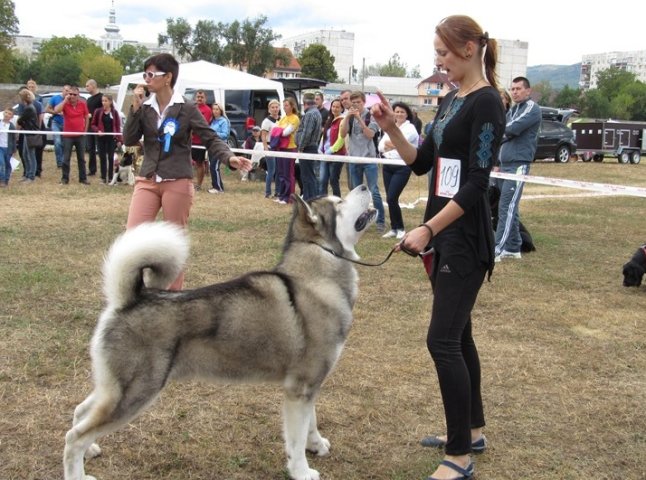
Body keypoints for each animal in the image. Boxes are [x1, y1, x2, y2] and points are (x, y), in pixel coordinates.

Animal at [63, 184, 378, 480]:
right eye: (339, 203)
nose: (364, 186)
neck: (316, 276)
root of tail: (129, 299)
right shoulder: (299, 388)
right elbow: (296, 440)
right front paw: (302, 471)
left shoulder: (311, 386)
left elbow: (311, 423)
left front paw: (317, 445)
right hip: (135, 393)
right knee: (74, 438)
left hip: (114, 389)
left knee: (80, 413)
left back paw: (90, 451)